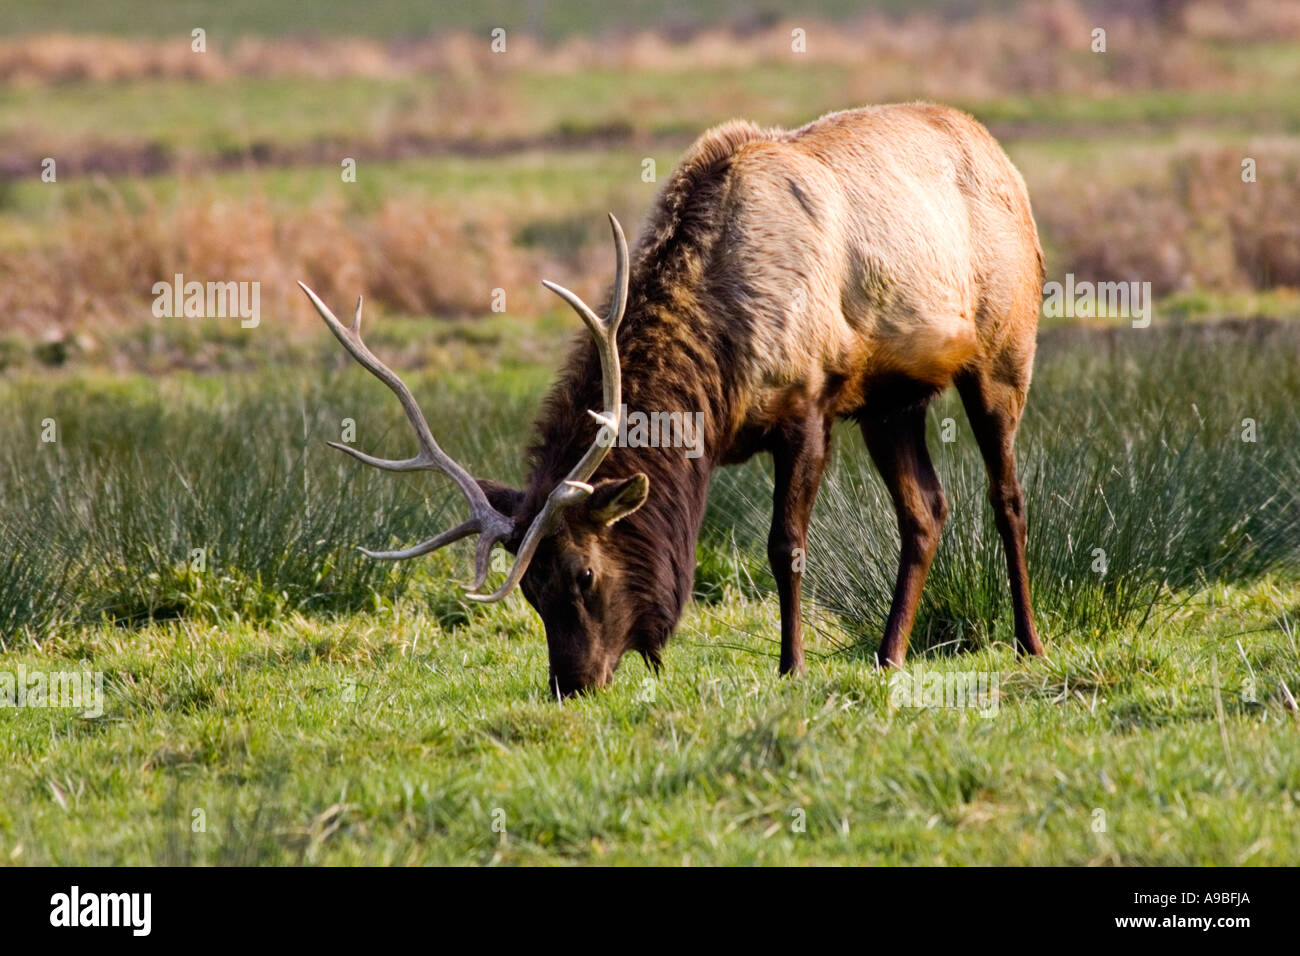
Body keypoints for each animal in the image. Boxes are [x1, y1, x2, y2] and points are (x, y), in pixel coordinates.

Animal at [300, 103, 1047, 697]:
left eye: (583, 574)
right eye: (530, 590)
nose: (571, 685)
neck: (718, 384)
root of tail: (1003, 158)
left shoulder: (808, 404)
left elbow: (785, 546)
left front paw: (790, 667)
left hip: (1004, 350)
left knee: (1006, 496)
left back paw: (1028, 642)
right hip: (892, 400)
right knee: (926, 511)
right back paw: (888, 655)